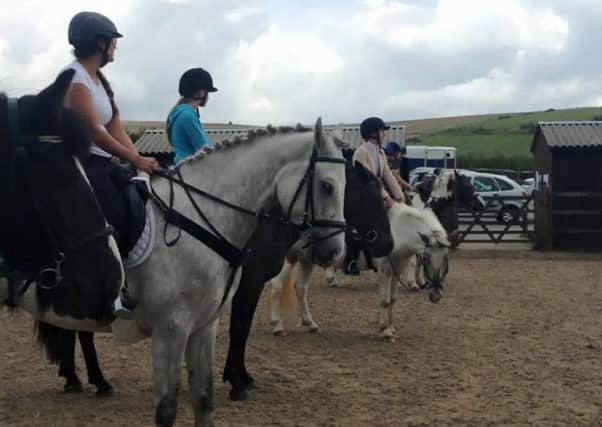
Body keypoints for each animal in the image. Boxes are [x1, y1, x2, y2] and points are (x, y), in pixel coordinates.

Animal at [2, 119, 344, 427]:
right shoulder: (171, 330)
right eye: (327, 186)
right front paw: (240, 384)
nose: (334, 252)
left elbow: (203, 400)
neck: (202, 221)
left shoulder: (204, 326)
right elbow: (167, 409)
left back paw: (88, 381)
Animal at [270, 203, 448, 342]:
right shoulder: (384, 272)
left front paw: (391, 327)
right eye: (426, 257)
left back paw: (310, 324)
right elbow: (385, 301)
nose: (436, 295)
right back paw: (277, 326)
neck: (397, 234)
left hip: (306, 261)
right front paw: (385, 331)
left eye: (446, 259)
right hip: (290, 258)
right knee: (276, 286)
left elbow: (393, 300)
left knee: (301, 289)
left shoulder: (395, 272)